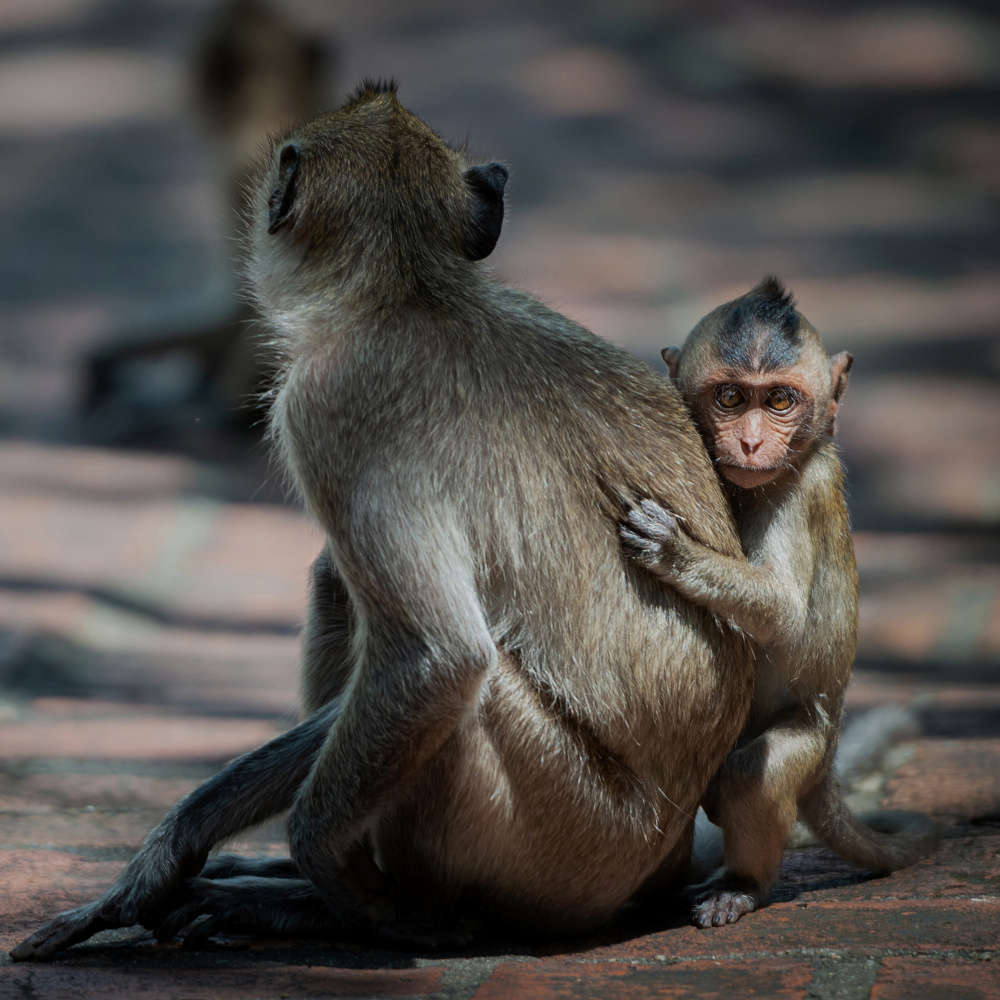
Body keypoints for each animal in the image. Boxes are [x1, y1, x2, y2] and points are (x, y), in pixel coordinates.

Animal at [13, 82, 752, 956]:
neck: (414, 289)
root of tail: (660, 858)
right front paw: (183, 842)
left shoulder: (325, 404)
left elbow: (437, 660)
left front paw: (328, 878)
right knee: (340, 586)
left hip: (565, 835)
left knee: (456, 676)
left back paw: (381, 911)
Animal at [620, 278, 940, 924]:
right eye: (730, 397)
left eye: (780, 402)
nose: (749, 441)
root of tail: (829, 759)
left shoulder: (801, 487)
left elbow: (783, 611)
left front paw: (674, 551)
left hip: (809, 740)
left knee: (751, 773)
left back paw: (743, 883)